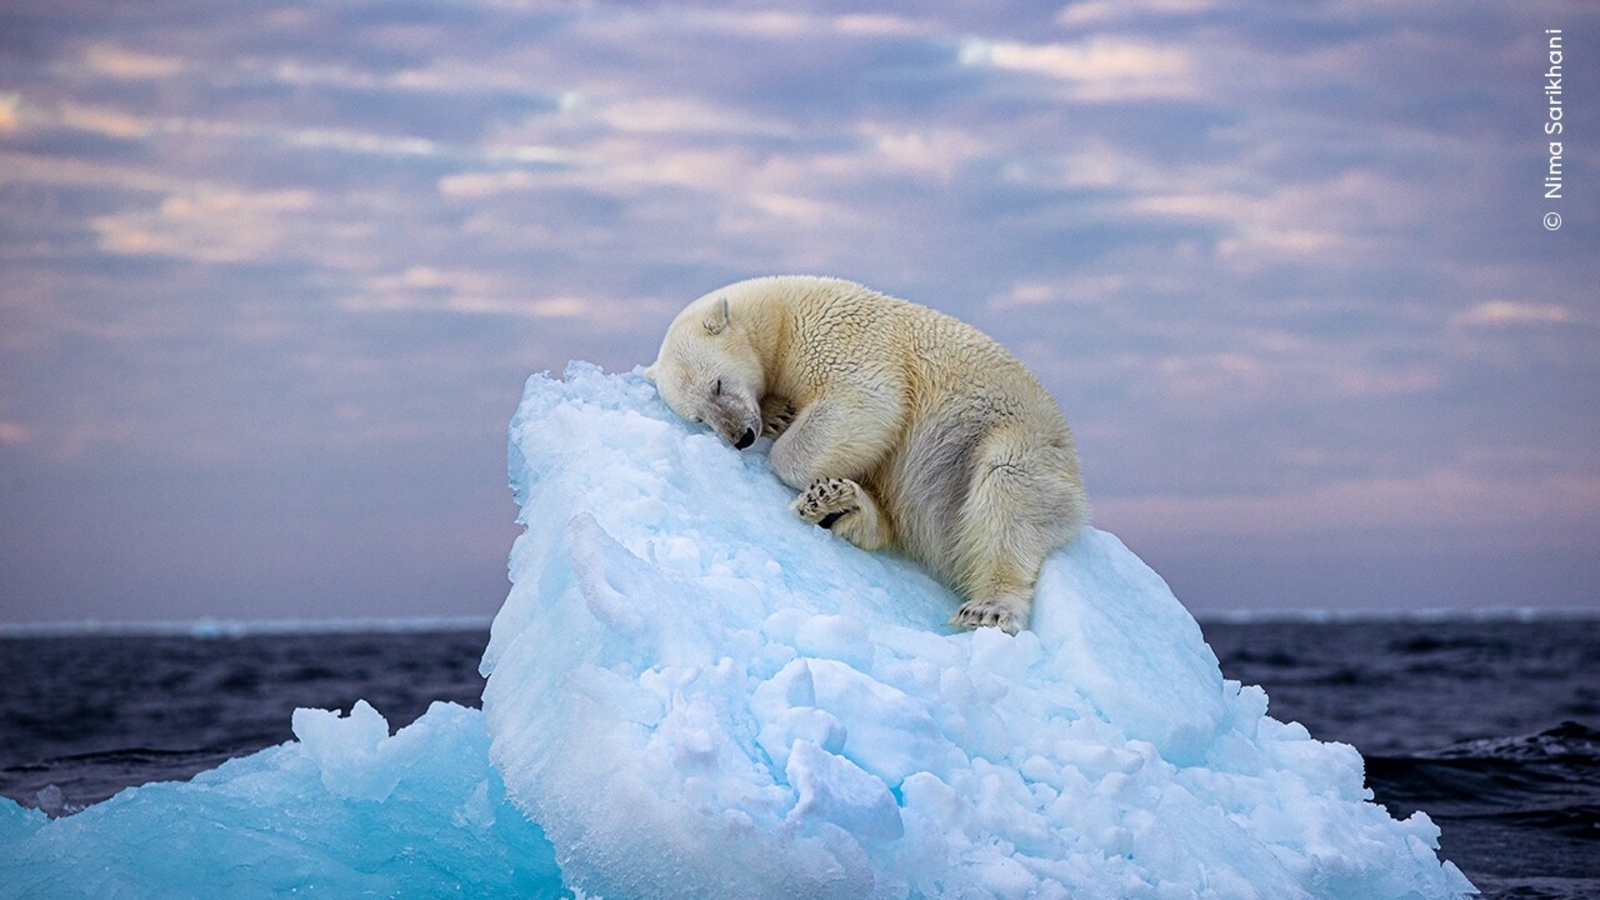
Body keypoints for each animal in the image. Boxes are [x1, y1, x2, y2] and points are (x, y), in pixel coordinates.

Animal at [645, 275, 1089, 635]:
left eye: (718, 384)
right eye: (699, 417)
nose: (741, 436)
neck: (781, 314)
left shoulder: (838, 336)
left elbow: (867, 401)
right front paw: (778, 414)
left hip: (1009, 439)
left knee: (1006, 494)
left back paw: (989, 608)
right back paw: (837, 505)